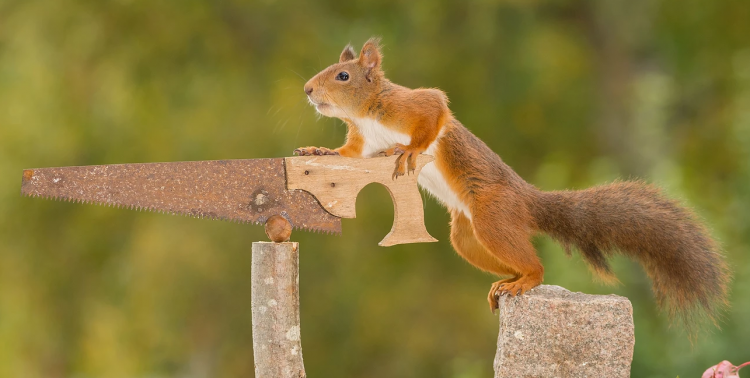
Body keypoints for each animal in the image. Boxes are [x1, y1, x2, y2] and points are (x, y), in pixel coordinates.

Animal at [296, 38, 732, 326]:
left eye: (343, 75)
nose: (307, 90)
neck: (367, 113)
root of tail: (527, 199)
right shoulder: (364, 143)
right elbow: (348, 155)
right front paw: (320, 151)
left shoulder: (412, 104)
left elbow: (434, 111)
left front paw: (410, 149)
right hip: (469, 236)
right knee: (500, 256)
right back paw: (508, 280)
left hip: (493, 216)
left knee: (537, 267)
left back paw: (526, 281)